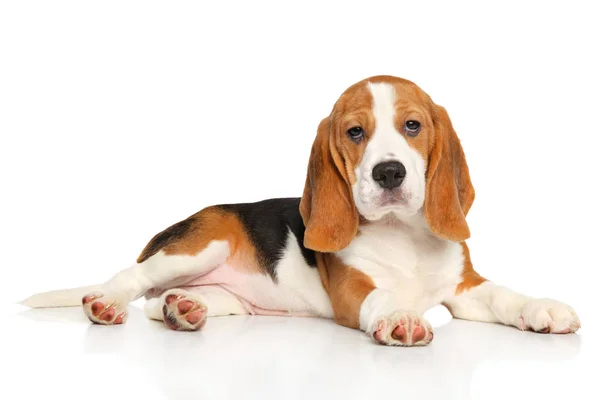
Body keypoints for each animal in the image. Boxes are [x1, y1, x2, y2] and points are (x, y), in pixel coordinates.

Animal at [23, 76, 580, 346]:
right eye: (355, 132)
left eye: (413, 126)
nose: (390, 173)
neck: (404, 236)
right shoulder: (353, 291)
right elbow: (381, 298)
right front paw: (399, 316)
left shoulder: (464, 289)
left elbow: (505, 294)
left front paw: (543, 308)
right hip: (202, 244)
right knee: (130, 280)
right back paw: (104, 304)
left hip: (227, 295)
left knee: (162, 303)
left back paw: (186, 309)